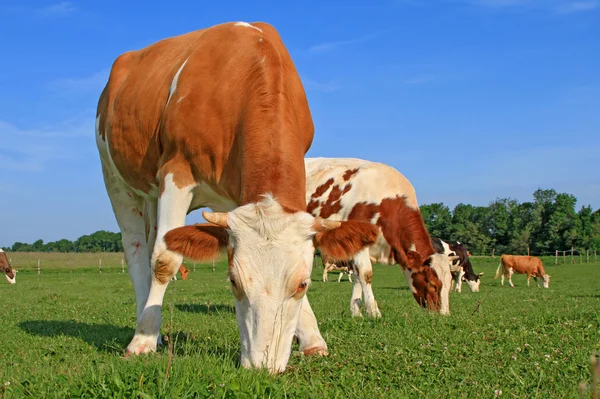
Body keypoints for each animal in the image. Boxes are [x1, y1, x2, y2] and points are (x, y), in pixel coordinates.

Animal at [96, 21, 378, 376]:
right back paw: (145, 328)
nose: (262, 367)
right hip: (116, 179)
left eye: (303, 285)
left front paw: (313, 340)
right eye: (233, 282)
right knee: (136, 251)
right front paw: (143, 339)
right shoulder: (176, 171)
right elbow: (164, 259)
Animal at [308, 158, 452, 318]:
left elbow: (357, 276)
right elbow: (366, 274)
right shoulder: (359, 242)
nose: (444, 315)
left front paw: (356, 312)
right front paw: (373, 312)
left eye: (450, 284)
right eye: (432, 284)